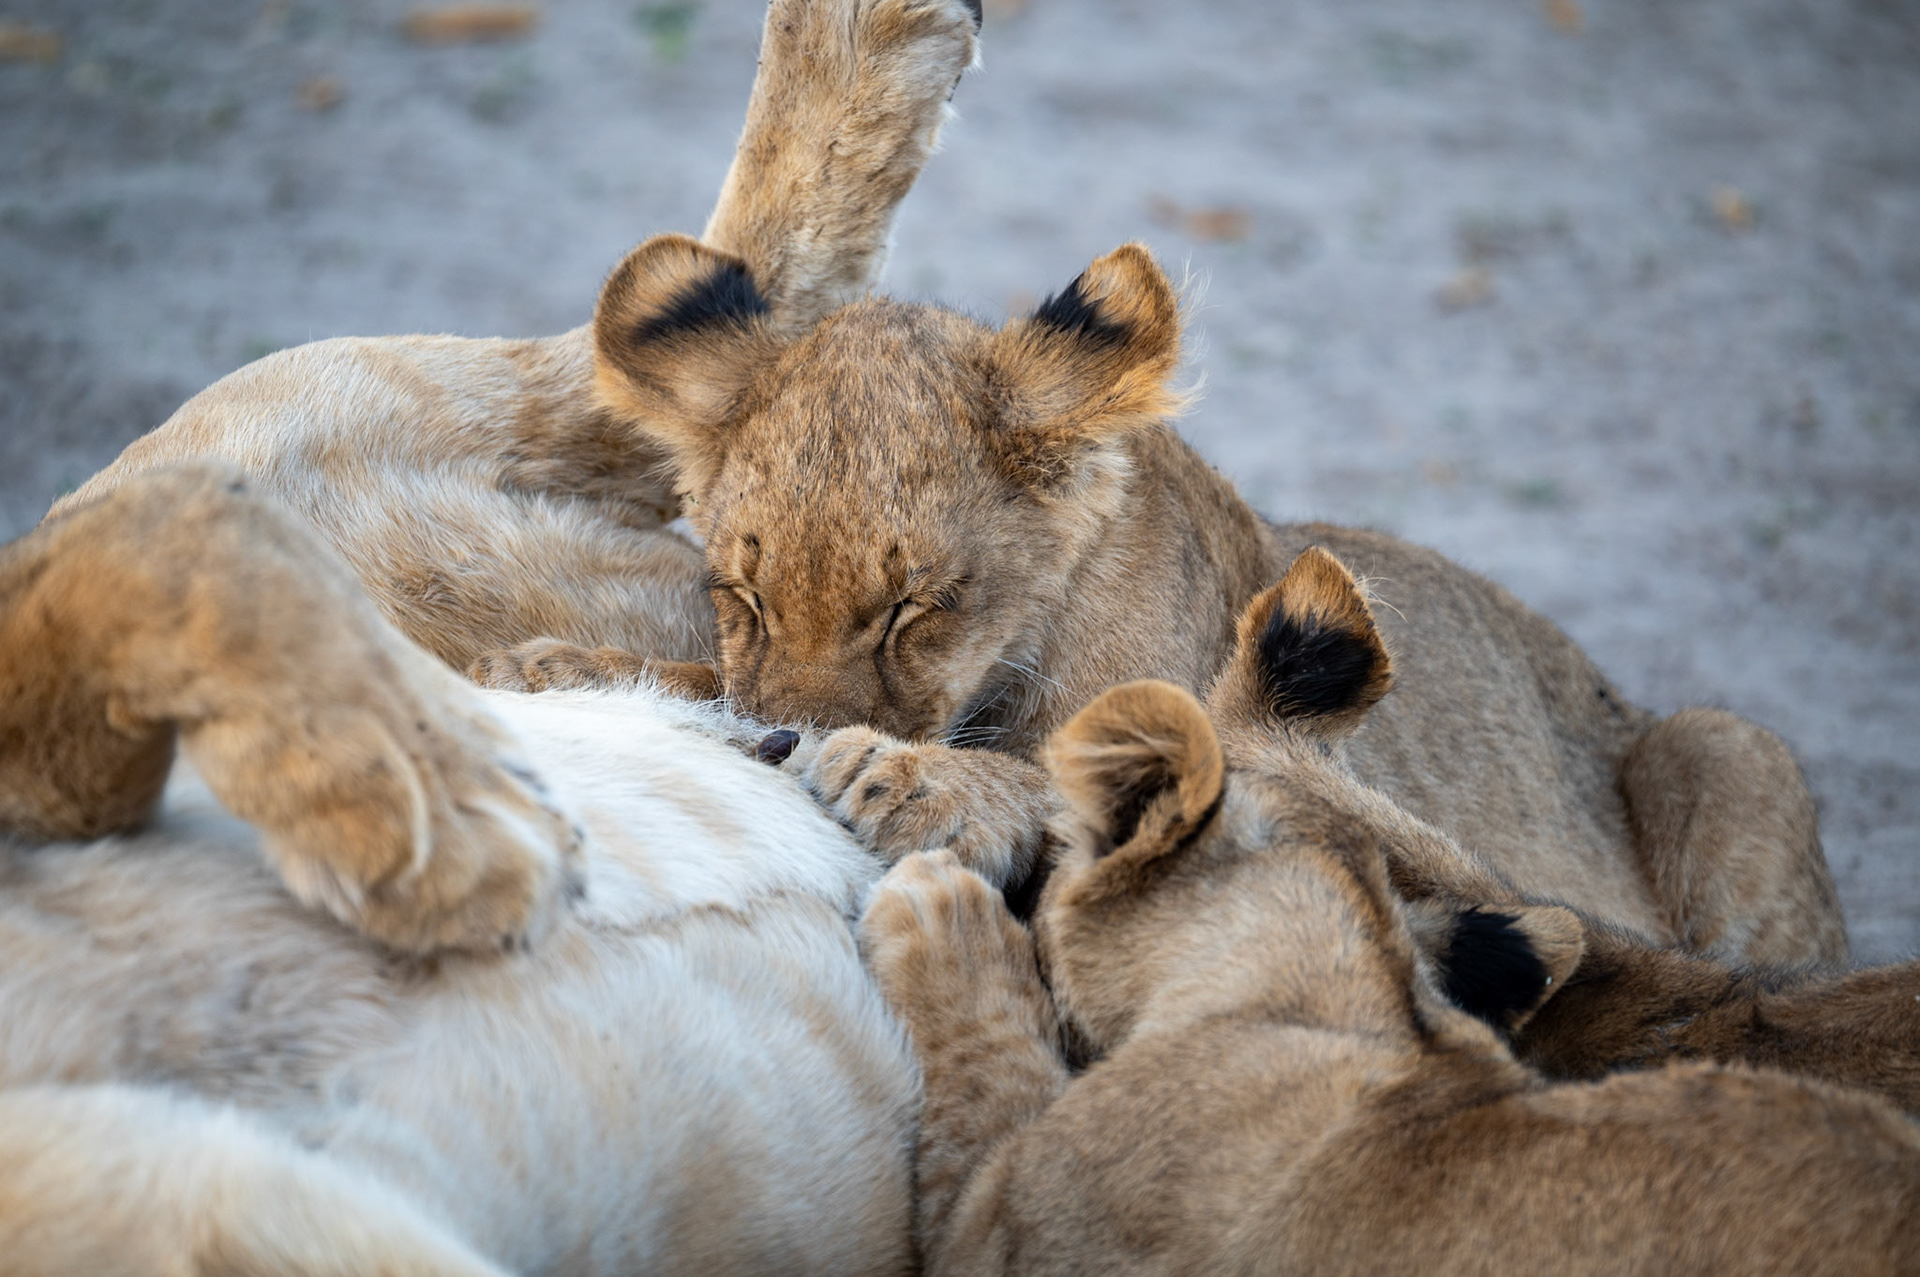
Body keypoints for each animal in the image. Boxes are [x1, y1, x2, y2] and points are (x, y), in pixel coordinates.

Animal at [486, 235, 1844, 971]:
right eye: (742, 593)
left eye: (917, 606)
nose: (794, 739)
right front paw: (566, 671)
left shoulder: (1266, 755)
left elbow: (1068, 782)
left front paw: (905, 774)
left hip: (1728, 744)